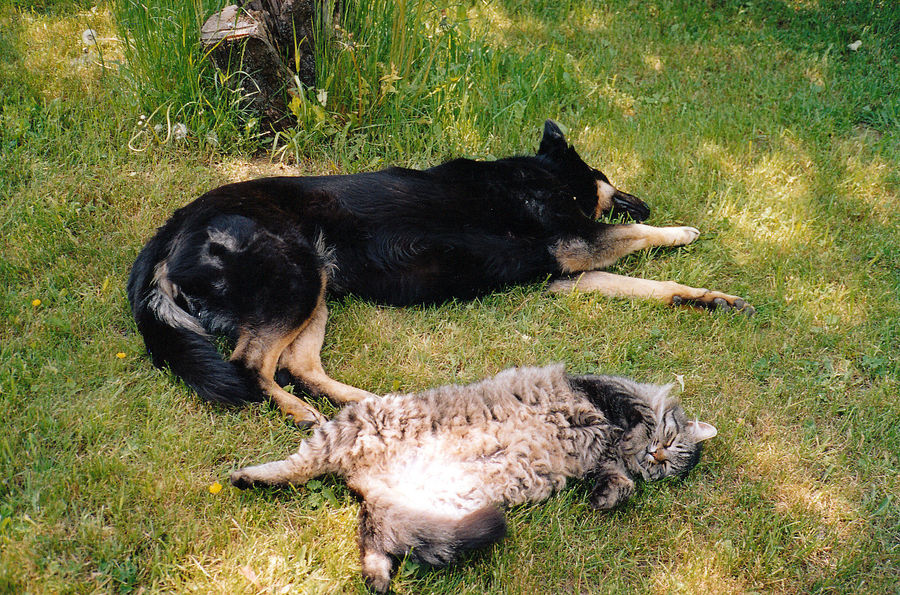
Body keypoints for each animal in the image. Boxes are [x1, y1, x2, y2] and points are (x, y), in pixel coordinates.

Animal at [126, 120, 752, 424]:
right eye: (611, 179)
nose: (644, 201)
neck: (545, 176)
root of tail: (175, 226)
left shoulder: (568, 274)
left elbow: (652, 286)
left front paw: (705, 296)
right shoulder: (577, 246)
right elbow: (638, 239)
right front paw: (681, 231)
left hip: (316, 284)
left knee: (298, 364)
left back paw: (366, 401)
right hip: (295, 279)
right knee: (251, 363)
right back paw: (300, 411)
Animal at [230, 366, 716, 592]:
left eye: (667, 466)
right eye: (668, 443)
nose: (655, 457)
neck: (619, 446)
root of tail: (366, 477)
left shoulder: (602, 464)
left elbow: (619, 481)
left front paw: (609, 496)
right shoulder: (601, 391)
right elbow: (630, 407)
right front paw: (637, 424)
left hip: (428, 505)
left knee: (373, 535)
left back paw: (377, 577)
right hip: (349, 426)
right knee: (298, 466)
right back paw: (248, 476)